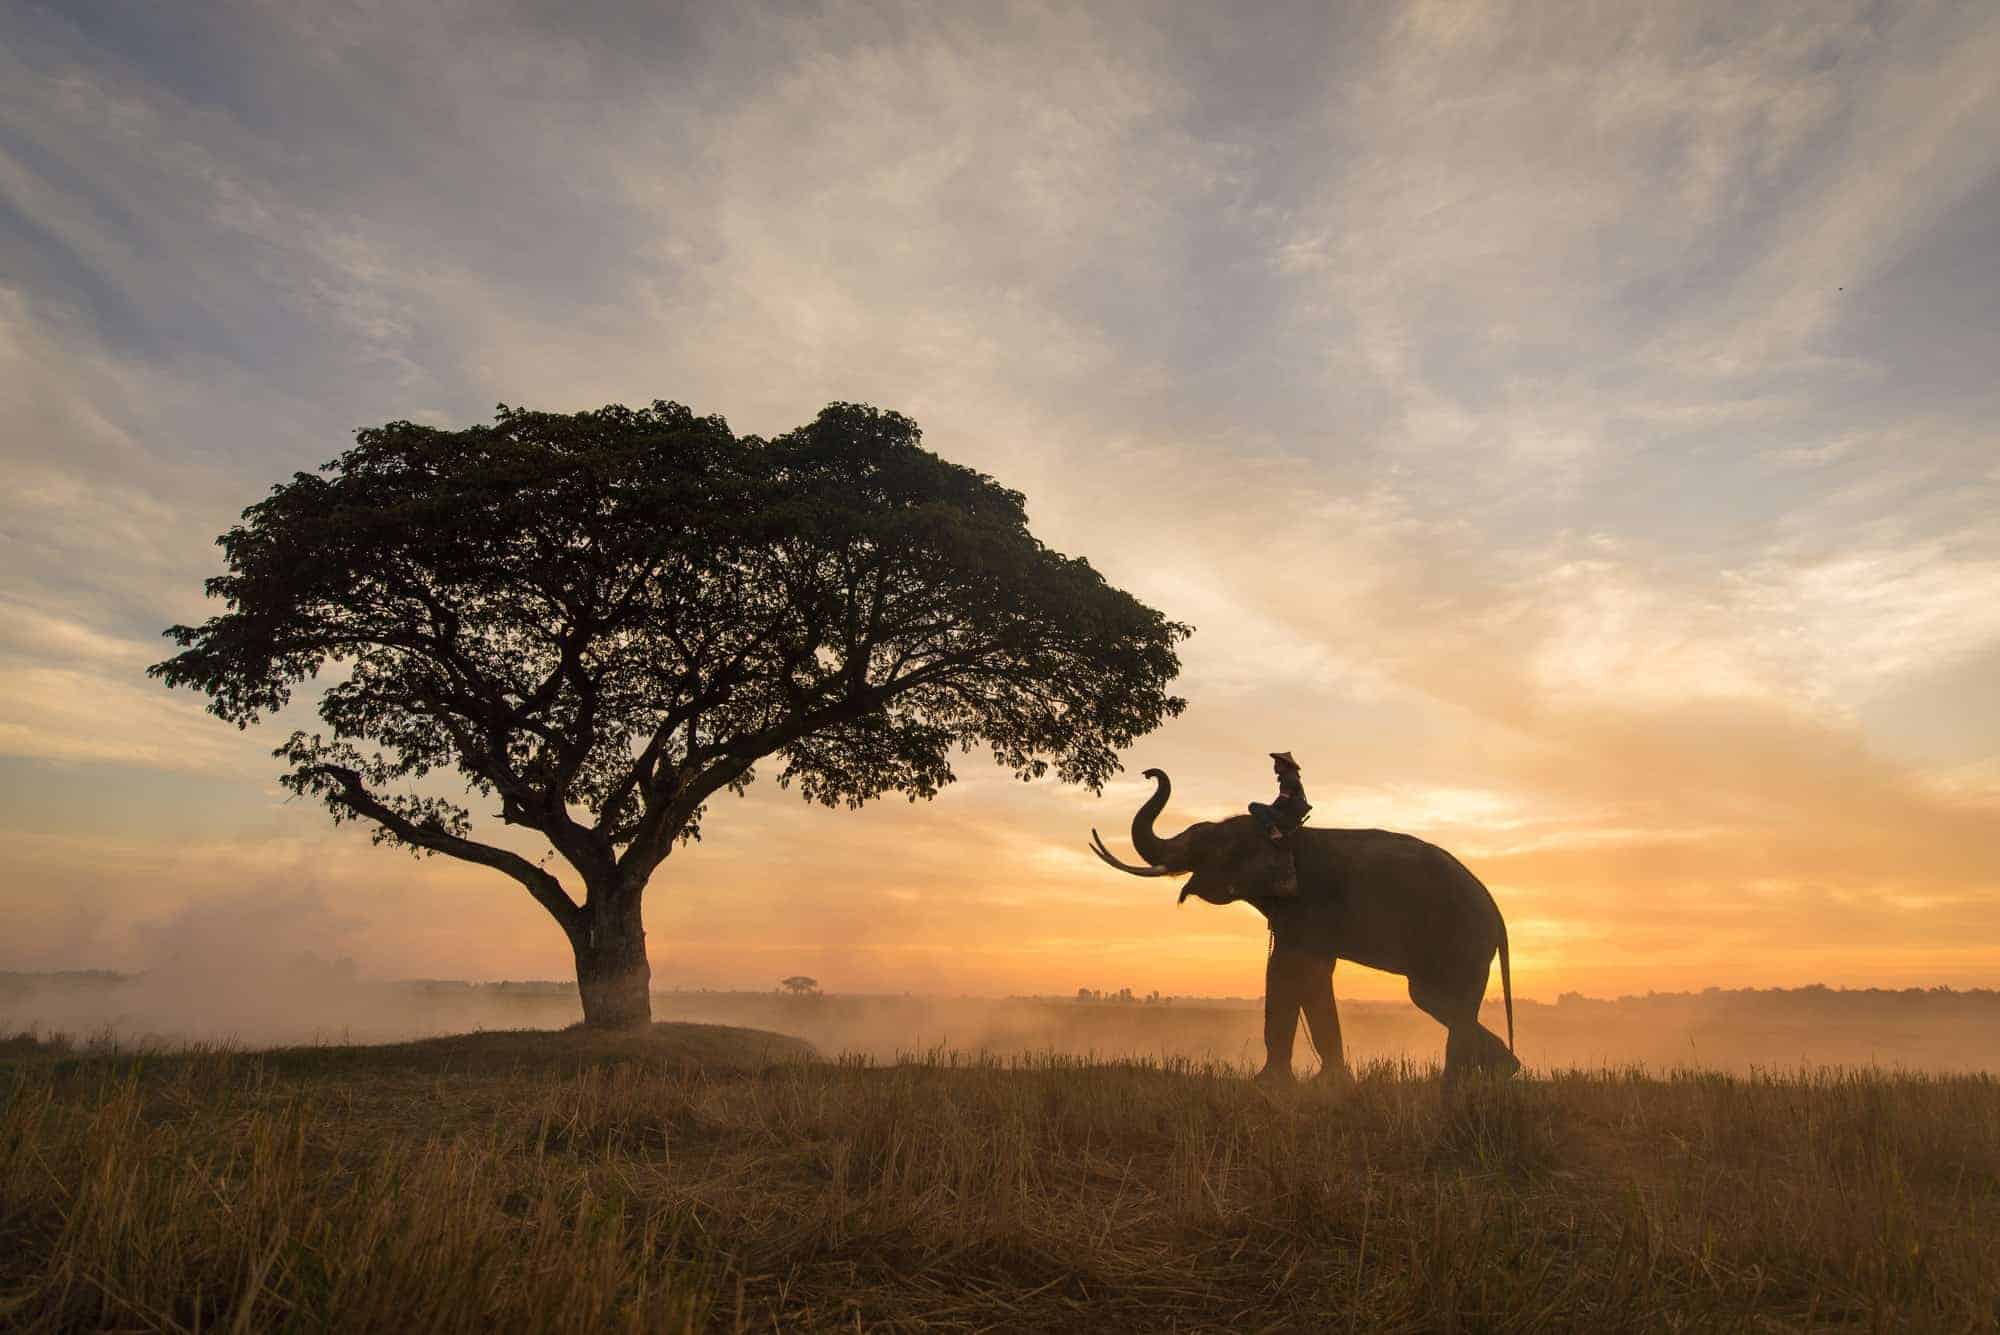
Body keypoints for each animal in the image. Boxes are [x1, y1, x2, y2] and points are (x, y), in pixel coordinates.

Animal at [1096, 771, 1512, 1087]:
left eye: (1210, 844)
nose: (1149, 773)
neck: (1281, 835)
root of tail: (1497, 913)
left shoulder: (1311, 904)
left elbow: (1290, 969)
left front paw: (1278, 1085)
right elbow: (1301, 974)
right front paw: (1316, 1082)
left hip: (1462, 939)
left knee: (1440, 1000)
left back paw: (1460, 1083)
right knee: (1434, 999)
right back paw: (1504, 1072)